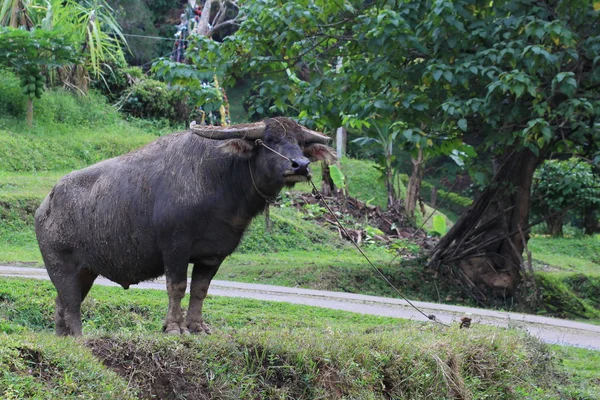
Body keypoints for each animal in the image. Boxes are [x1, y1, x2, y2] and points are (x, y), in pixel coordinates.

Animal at [35, 117, 336, 336]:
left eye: (300, 142)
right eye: (268, 140)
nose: (301, 165)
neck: (220, 182)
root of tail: (45, 206)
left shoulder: (214, 254)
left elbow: (200, 290)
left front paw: (197, 326)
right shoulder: (175, 247)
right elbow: (177, 286)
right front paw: (174, 327)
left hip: (86, 271)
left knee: (61, 303)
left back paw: (62, 337)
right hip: (61, 266)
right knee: (71, 304)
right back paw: (77, 337)